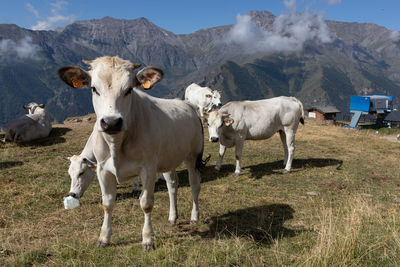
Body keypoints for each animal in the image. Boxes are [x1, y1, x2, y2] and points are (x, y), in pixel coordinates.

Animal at [57, 56, 205, 251]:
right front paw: (103, 238)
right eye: (94, 88)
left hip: (193, 155)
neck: (116, 145)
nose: (111, 122)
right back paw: (172, 218)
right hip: (168, 159)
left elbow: (146, 204)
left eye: (129, 89)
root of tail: (187, 104)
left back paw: (195, 216)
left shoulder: (148, 169)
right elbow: (107, 203)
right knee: (172, 186)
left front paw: (147, 239)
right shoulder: (103, 170)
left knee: (195, 185)